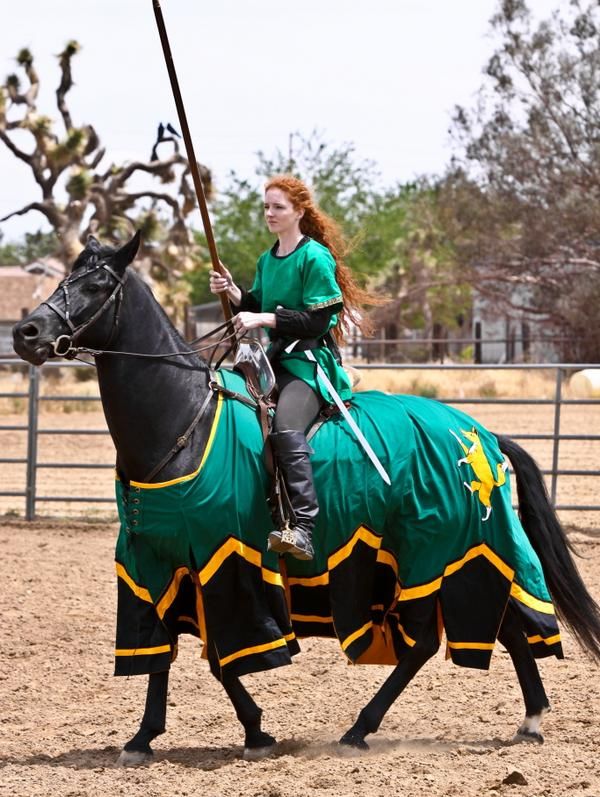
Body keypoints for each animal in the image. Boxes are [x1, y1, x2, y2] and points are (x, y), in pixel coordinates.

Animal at [12, 235, 600, 764]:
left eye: (96, 285)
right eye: (65, 276)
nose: (25, 332)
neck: (183, 420)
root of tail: (482, 435)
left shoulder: (230, 560)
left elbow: (224, 654)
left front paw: (254, 733)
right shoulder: (151, 564)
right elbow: (162, 651)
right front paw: (144, 738)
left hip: (443, 548)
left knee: (436, 641)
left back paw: (361, 729)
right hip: (460, 555)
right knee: (505, 626)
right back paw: (530, 720)